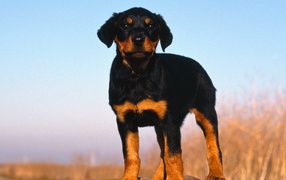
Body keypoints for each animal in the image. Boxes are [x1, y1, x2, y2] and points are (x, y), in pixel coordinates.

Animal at [98, 7, 226, 180]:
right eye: (125, 25)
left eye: (151, 26)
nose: (138, 39)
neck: (137, 75)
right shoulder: (125, 120)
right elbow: (131, 154)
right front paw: (129, 177)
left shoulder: (169, 120)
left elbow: (173, 154)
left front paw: (175, 177)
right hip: (160, 126)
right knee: (161, 152)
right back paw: (157, 176)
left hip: (206, 112)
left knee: (213, 145)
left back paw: (216, 173)